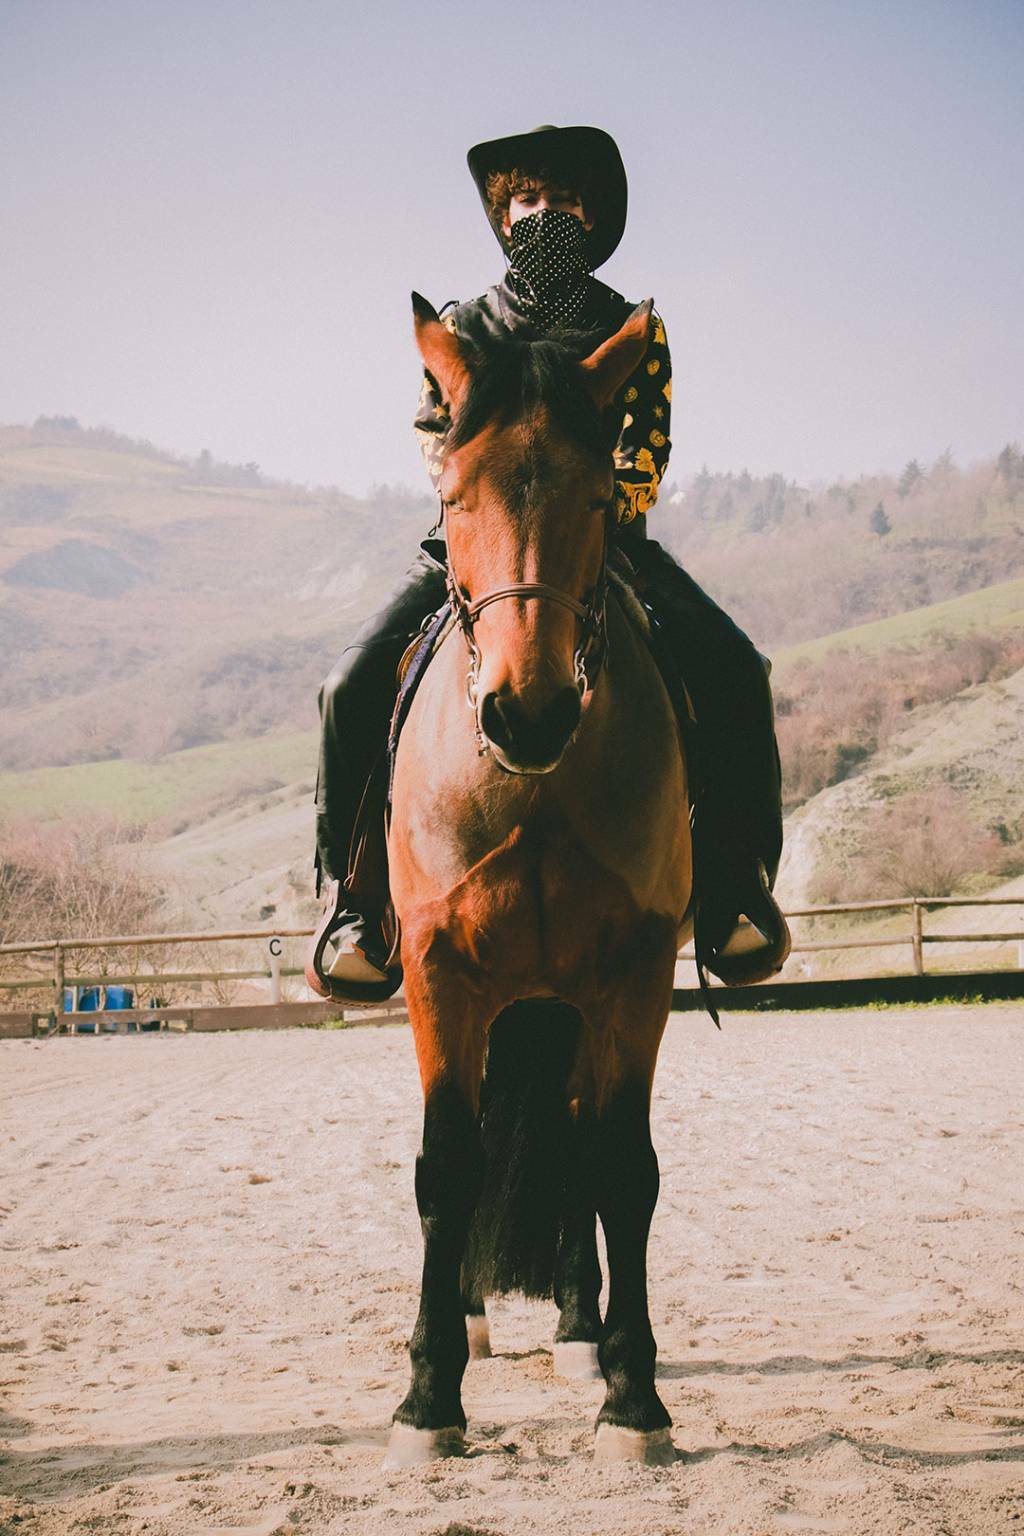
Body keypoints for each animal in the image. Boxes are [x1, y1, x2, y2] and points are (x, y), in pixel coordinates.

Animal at [386, 296, 696, 1462]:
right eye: (448, 494)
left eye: (601, 493)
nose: (527, 713)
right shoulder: (440, 974)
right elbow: (445, 1167)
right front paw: (427, 1398)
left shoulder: (634, 977)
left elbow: (620, 1170)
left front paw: (633, 1397)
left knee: (568, 1142)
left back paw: (578, 1330)